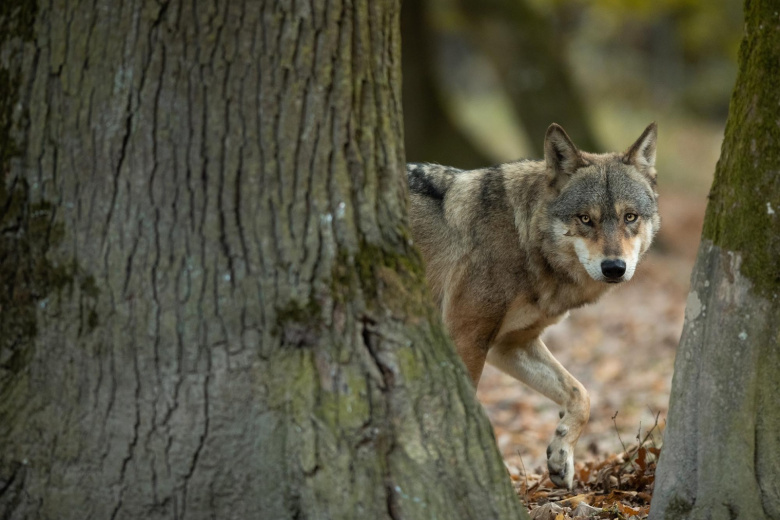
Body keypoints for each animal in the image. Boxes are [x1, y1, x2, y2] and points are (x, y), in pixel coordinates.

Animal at [407, 123, 660, 488]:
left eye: (630, 217)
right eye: (586, 219)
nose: (614, 267)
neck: (522, 238)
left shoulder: (510, 345)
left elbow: (581, 395)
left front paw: (561, 457)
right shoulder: (465, 337)